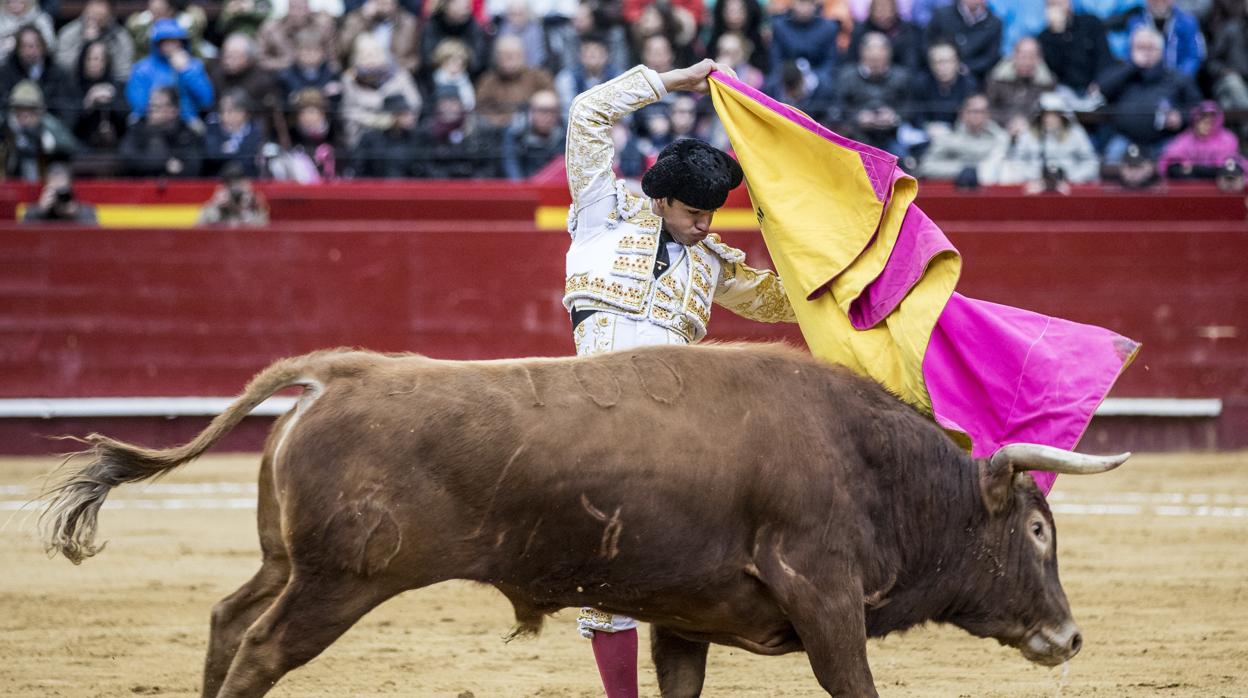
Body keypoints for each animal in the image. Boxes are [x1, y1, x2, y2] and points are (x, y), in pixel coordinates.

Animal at [41, 344, 1133, 698]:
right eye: (1039, 533)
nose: (1072, 635)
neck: (871, 464)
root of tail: (348, 370)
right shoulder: (826, 598)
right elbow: (854, 686)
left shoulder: (688, 616)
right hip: (338, 581)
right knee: (263, 648)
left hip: (289, 561)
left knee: (229, 618)